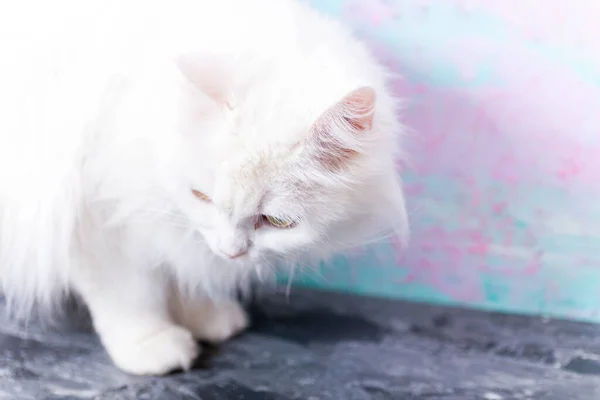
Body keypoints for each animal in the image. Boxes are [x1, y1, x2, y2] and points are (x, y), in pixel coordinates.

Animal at [0, 0, 408, 376]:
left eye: (277, 222)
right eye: (203, 197)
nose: (232, 253)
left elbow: (183, 270)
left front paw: (205, 315)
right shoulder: (93, 218)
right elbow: (129, 292)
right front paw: (152, 345)